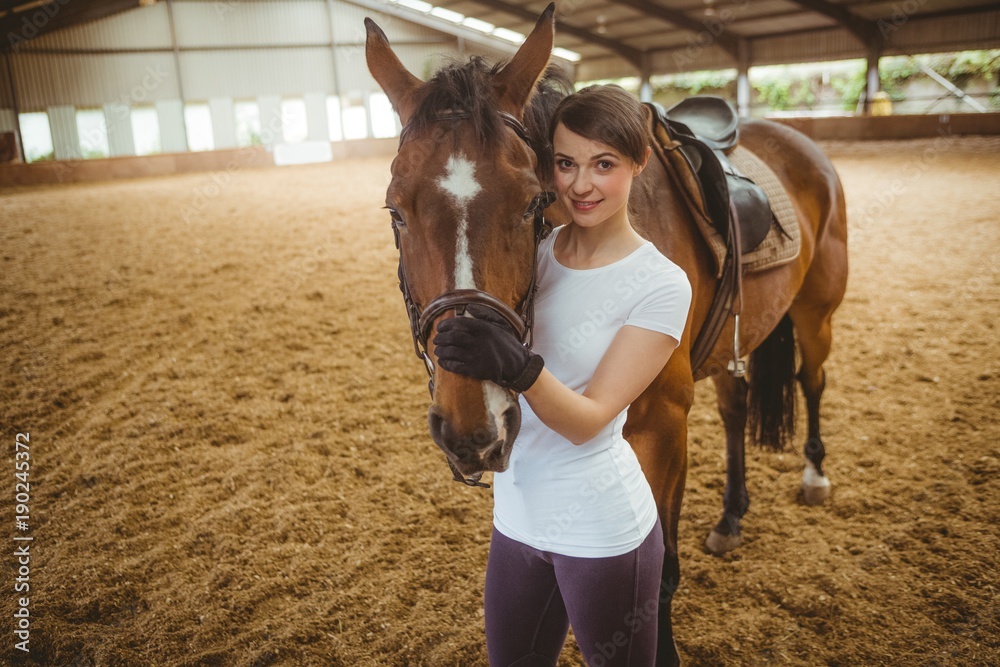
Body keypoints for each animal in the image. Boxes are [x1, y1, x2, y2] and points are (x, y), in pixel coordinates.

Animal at [364, 4, 848, 664]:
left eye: (532, 202)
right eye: (396, 211)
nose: (471, 428)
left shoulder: (663, 422)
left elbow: (660, 571)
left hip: (816, 311)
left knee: (812, 378)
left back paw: (815, 475)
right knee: (736, 406)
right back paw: (730, 517)